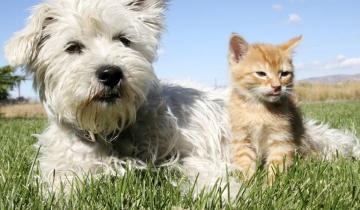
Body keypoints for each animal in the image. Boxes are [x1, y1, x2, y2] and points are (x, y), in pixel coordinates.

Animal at [228, 33, 304, 185]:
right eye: (261, 73)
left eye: (284, 74)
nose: (277, 86)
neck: (259, 109)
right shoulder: (242, 138)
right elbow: (245, 162)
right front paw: (247, 184)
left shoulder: (281, 140)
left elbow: (277, 165)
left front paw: (269, 186)